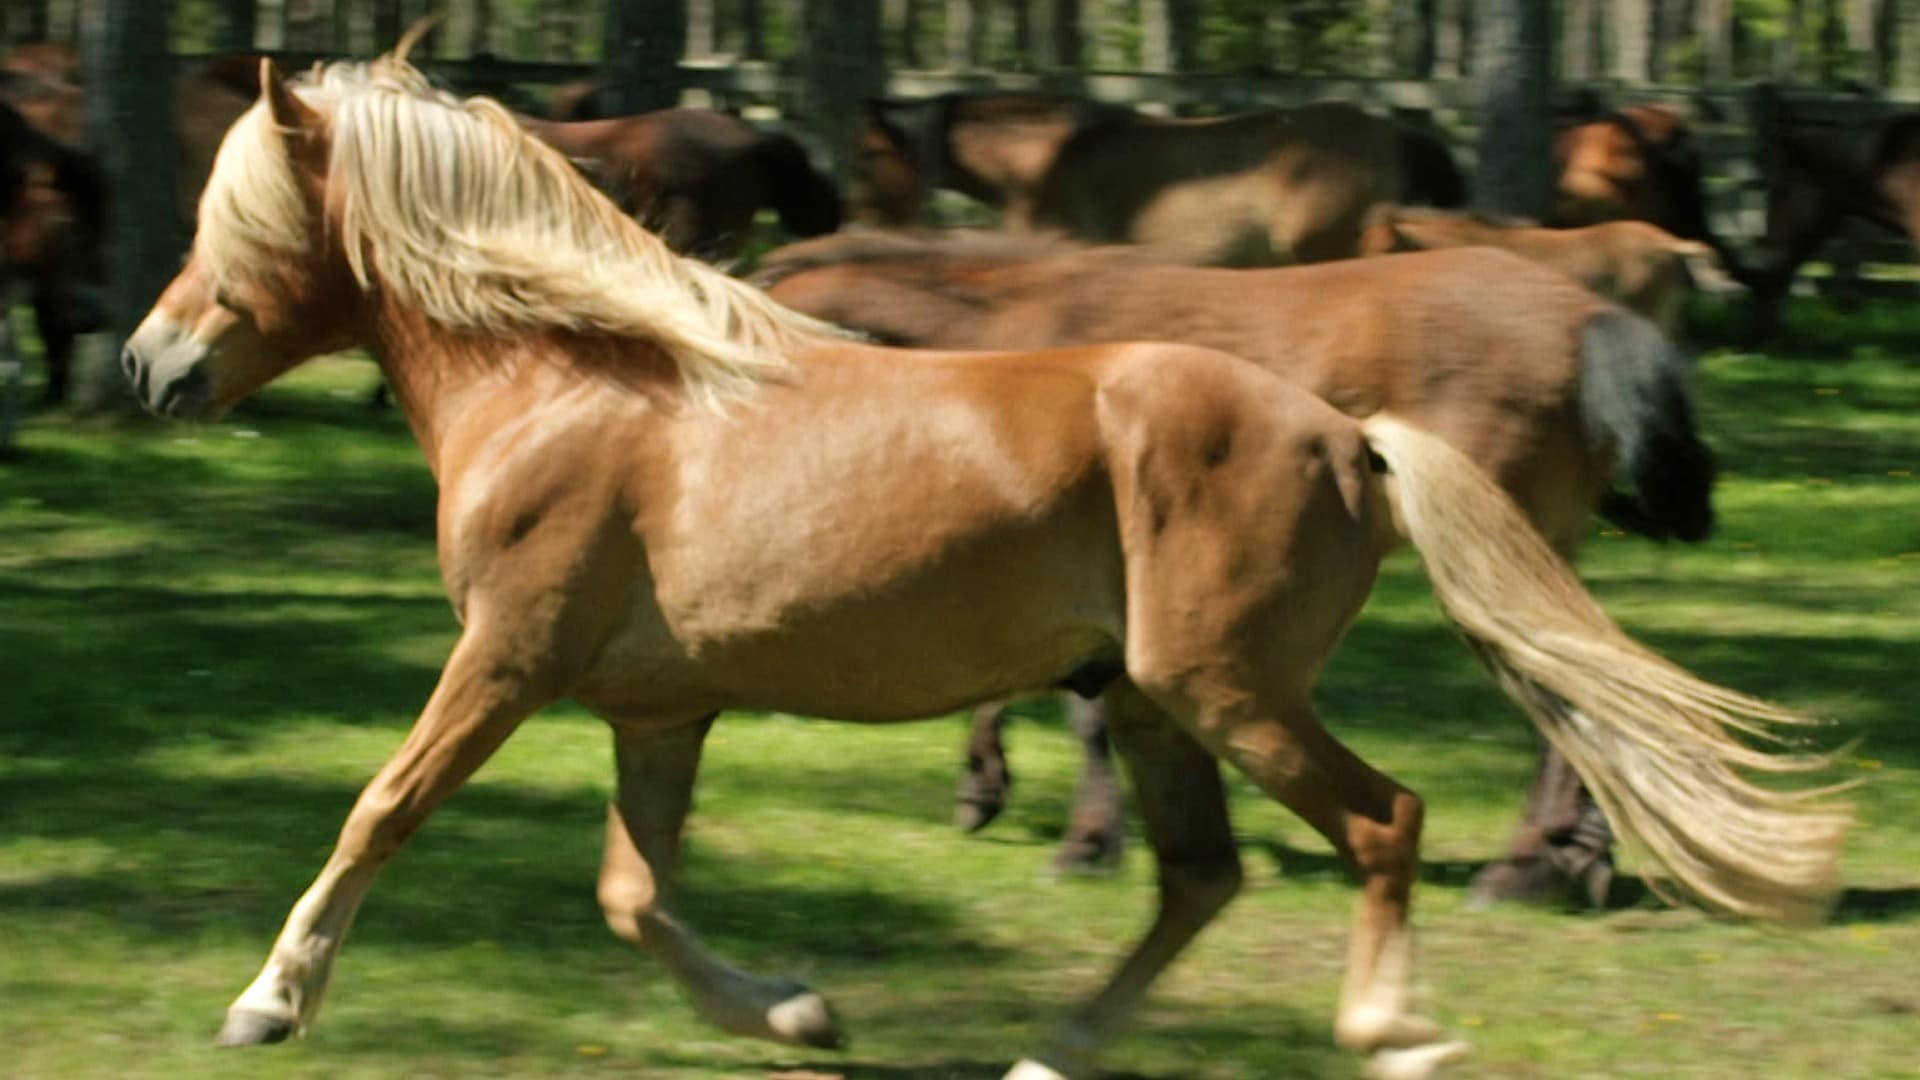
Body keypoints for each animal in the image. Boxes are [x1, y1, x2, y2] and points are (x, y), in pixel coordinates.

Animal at [748, 228, 1712, 899]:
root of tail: (1592, 319)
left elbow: (1081, 710)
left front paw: (1087, 842)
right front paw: (990, 786)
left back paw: (1532, 867)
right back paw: (1575, 854)